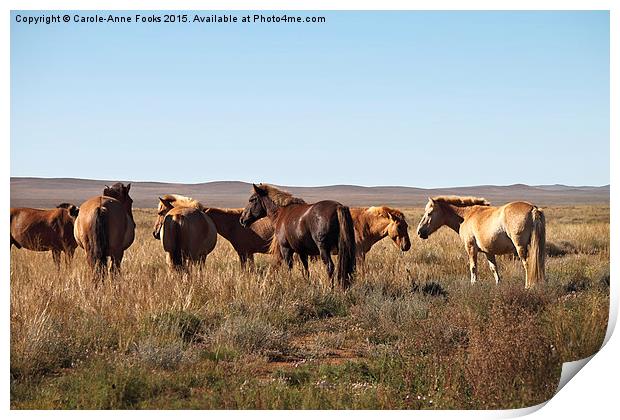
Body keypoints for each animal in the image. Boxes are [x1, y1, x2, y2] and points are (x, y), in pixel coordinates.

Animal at [414, 197, 544, 288]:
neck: (466, 215)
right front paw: (498, 285)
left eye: (429, 213)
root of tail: (533, 208)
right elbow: (494, 269)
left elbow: (473, 267)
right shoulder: (488, 252)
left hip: (520, 248)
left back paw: (528, 286)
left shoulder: (471, 248)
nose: (419, 232)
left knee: (527, 265)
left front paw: (473, 284)